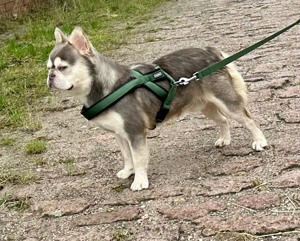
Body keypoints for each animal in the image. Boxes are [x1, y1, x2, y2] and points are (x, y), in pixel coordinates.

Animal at [46, 27, 268, 191]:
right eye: (48, 67)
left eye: (63, 68)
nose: (50, 76)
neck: (108, 87)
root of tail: (210, 51)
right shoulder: (120, 134)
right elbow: (127, 156)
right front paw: (128, 171)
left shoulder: (135, 132)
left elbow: (139, 158)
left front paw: (139, 181)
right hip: (207, 107)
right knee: (222, 120)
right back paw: (224, 139)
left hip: (227, 103)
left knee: (248, 118)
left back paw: (259, 141)